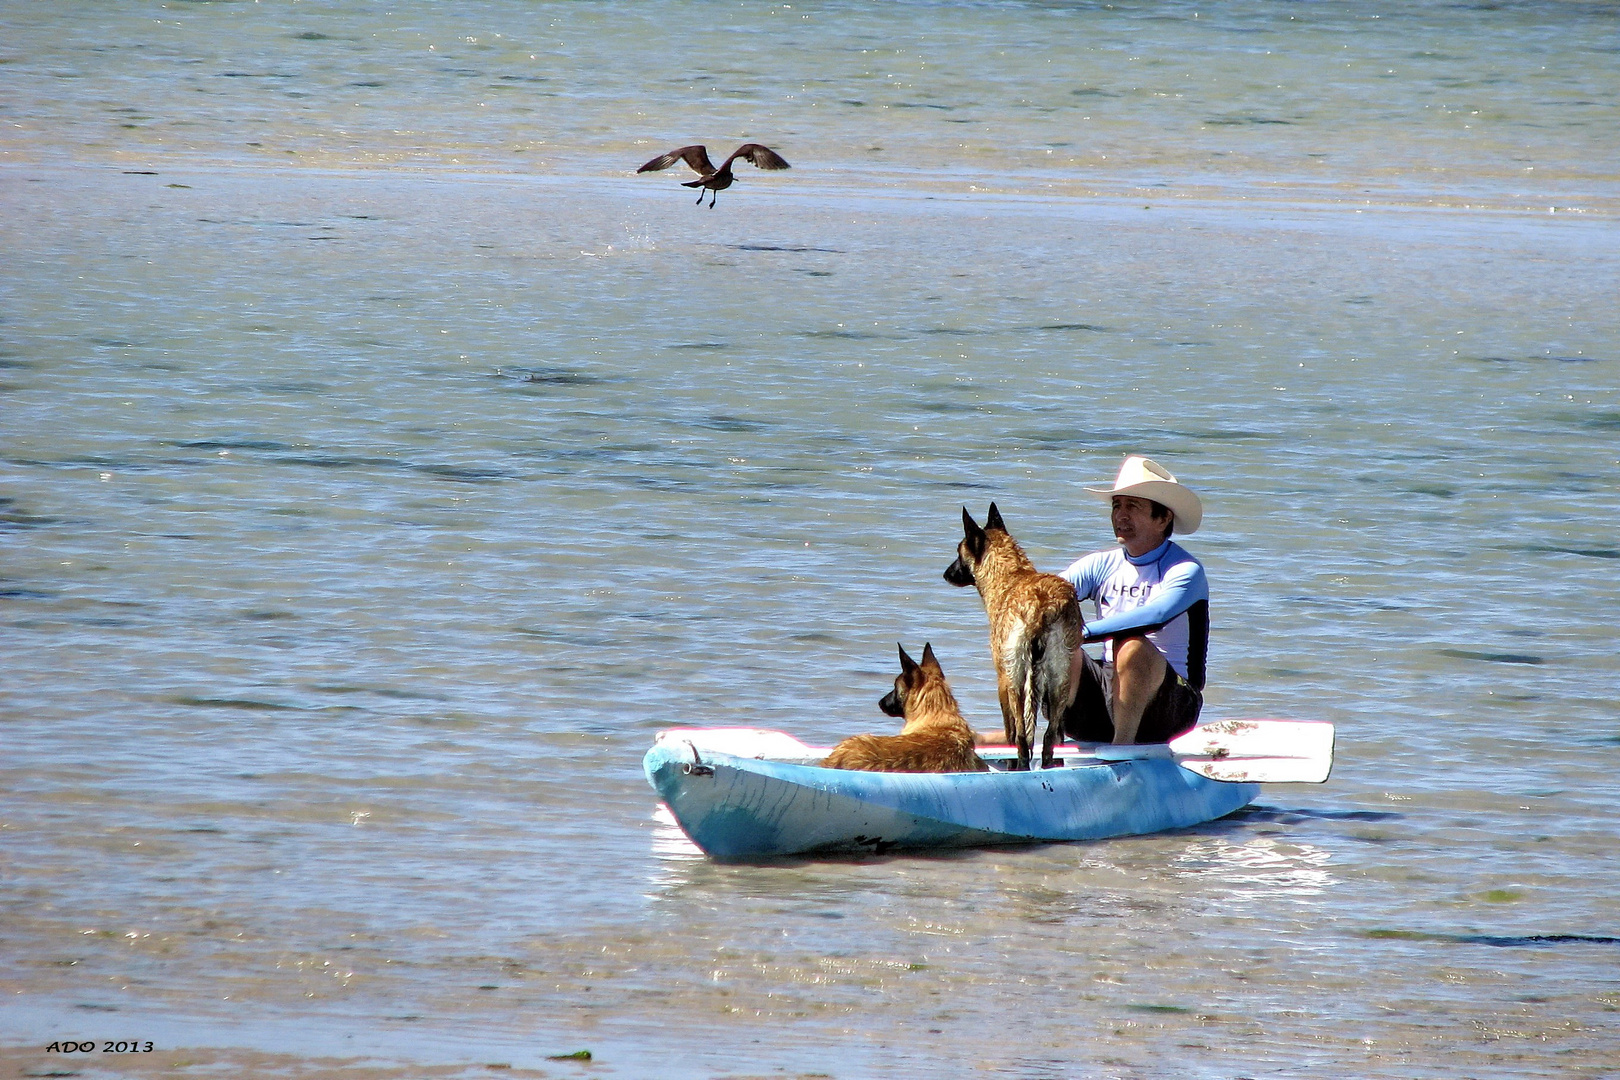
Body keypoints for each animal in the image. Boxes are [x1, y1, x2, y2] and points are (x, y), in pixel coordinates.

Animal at [946, 505, 1082, 767]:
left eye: (959, 551)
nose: (946, 574)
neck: (1011, 574)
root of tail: (1041, 605)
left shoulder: (1002, 679)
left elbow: (1011, 732)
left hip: (1015, 677)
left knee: (1020, 736)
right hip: (1060, 678)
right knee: (1050, 736)